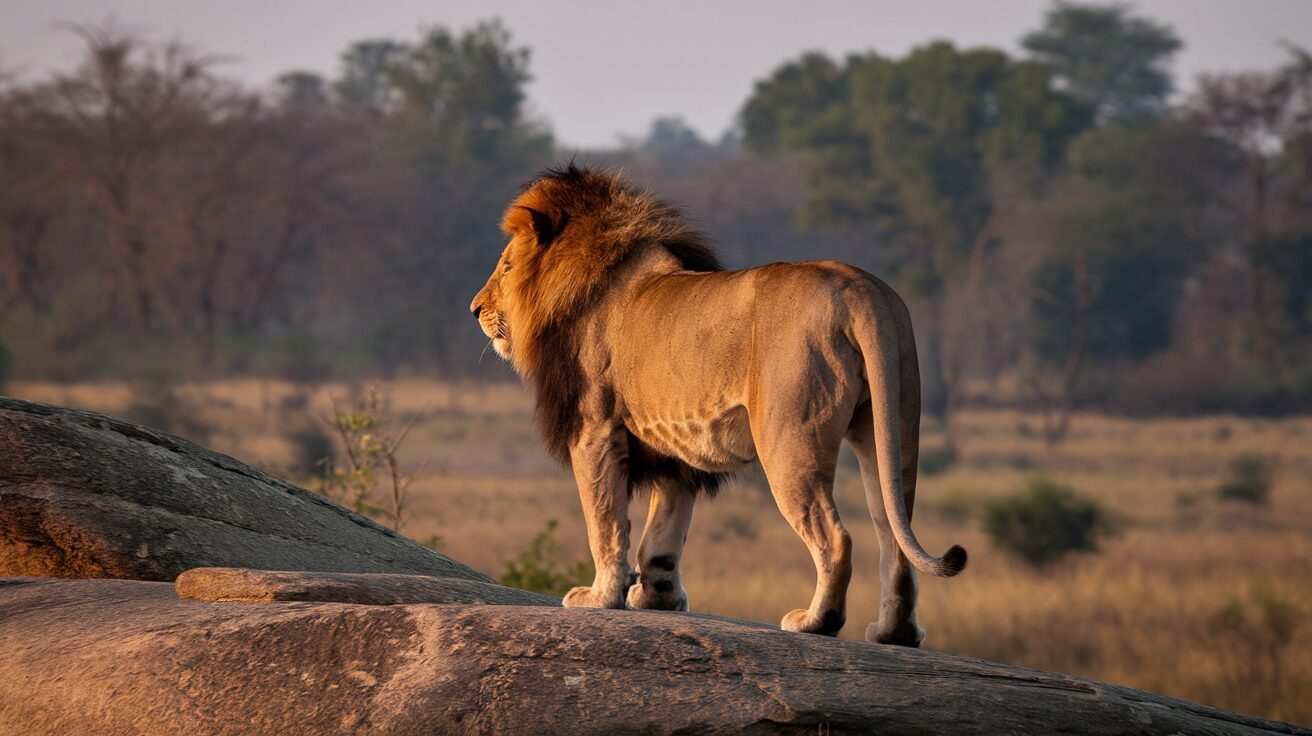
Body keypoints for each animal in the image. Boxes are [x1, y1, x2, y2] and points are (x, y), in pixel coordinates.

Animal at [470, 165, 965, 645]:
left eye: (507, 266)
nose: (474, 309)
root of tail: (860, 288)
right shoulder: (673, 448)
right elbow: (663, 535)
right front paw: (658, 598)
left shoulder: (595, 427)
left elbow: (604, 520)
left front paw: (599, 597)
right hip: (892, 425)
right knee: (893, 532)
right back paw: (894, 633)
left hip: (789, 439)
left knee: (837, 537)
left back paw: (815, 622)